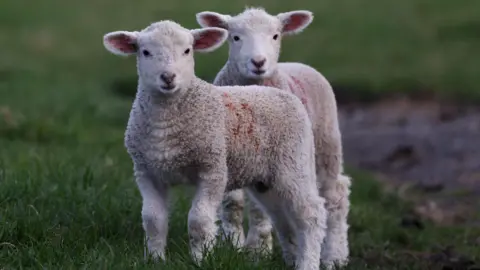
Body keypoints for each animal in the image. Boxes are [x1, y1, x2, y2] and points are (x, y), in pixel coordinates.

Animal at [101, 19, 326, 270]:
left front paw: (200, 260)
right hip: (266, 179)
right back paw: (292, 258)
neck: (166, 125)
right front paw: (155, 260)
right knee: (282, 216)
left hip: (295, 162)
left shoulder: (213, 168)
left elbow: (198, 221)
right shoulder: (146, 172)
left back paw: (308, 262)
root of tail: (281, 93)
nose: (168, 77)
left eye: (187, 50)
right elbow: (153, 220)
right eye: (145, 52)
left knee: (310, 214)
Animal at [196, 6, 352, 268]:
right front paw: (233, 245)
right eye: (235, 37)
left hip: (325, 143)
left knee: (335, 194)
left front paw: (257, 251)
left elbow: (258, 212)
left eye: (276, 36)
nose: (258, 62)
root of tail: (298, 64)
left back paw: (335, 255)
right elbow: (232, 203)